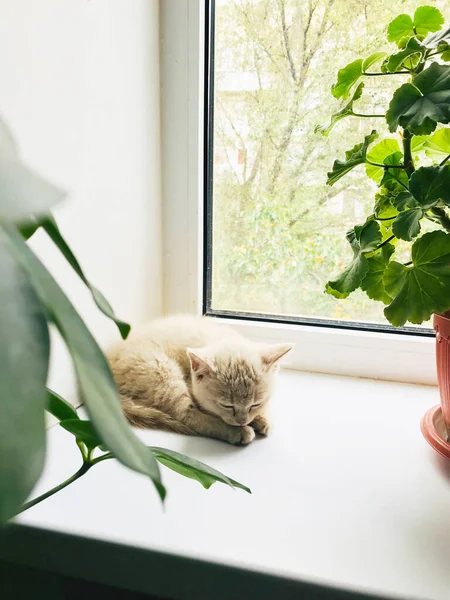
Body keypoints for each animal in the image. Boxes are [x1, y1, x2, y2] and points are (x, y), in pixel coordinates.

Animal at [107, 314, 294, 446]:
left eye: (255, 403)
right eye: (227, 405)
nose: (241, 421)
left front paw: (262, 418)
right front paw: (243, 427)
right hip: (162, 370)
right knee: (186, 415)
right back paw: (236, 433)